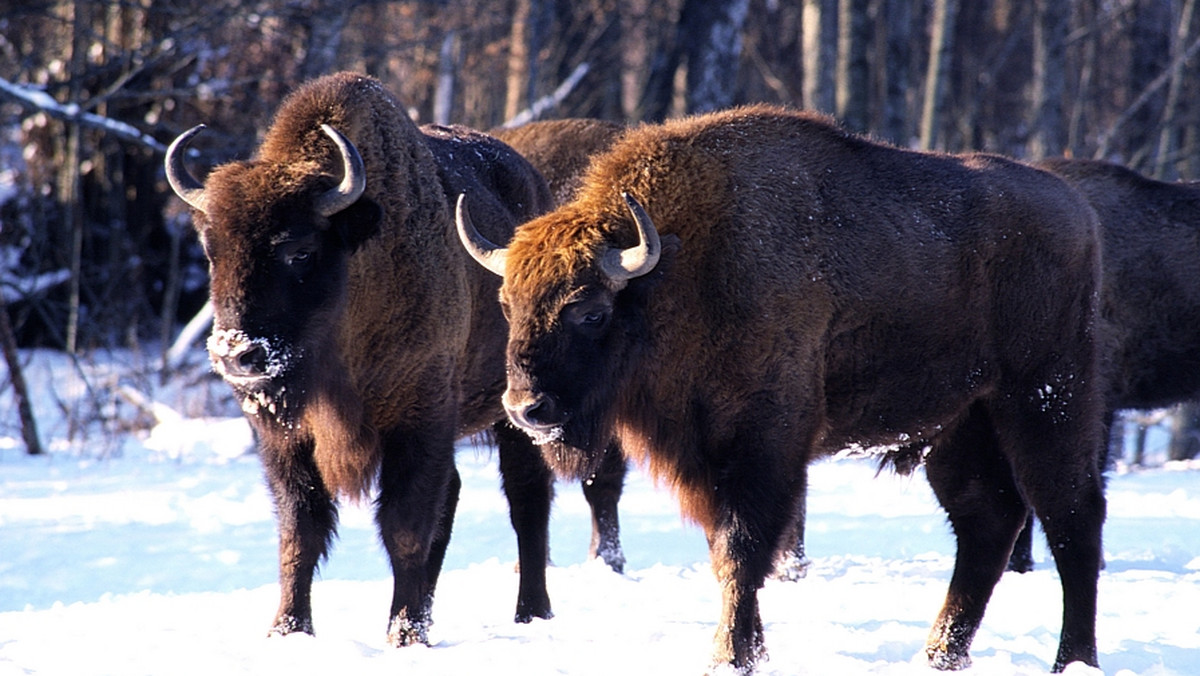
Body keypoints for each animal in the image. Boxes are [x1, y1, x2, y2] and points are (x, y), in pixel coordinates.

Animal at [163, 72, 600, 643]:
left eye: (299, 250)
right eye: (213, 251)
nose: (237, 354)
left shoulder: (418, 420)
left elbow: (405, 527)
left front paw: (405, 636)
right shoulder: (286, 439)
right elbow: (300, 531)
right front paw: (289, 631)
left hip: (518, 412)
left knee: (526, 501)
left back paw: (530, 612)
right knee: (456, 499)